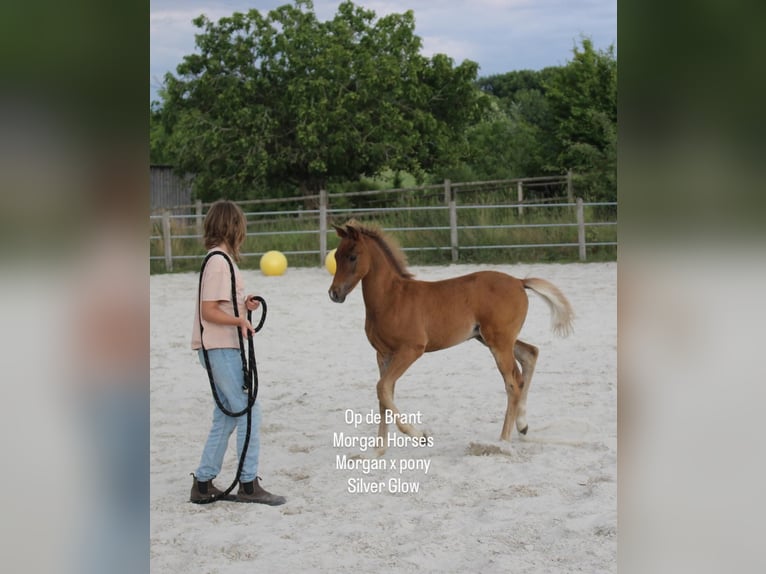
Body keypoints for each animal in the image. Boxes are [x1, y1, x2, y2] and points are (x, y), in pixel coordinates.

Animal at [327, 220, 574, 452]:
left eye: (352, 256)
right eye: (336, 256)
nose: (334, 294)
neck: (391, 298)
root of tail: (519, 282)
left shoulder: (410, 350)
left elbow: (383, 389)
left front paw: (420, 435)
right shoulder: (382, 354)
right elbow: (384, 395)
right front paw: (378, 450)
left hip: (499, 342)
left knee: (513, 383)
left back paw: (503, 441)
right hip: (491, 338)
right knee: (529, 355)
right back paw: (522, 425)